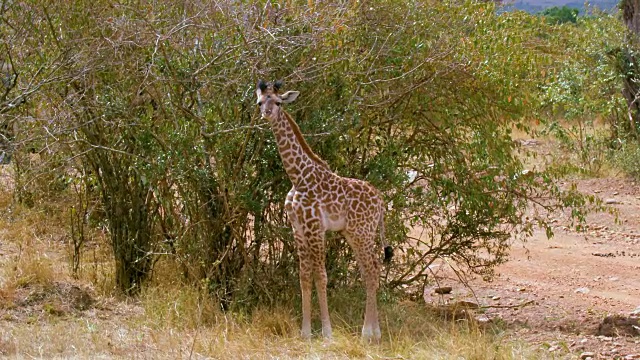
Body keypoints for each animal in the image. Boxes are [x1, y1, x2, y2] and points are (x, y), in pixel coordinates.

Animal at [255, 80, 390, 342]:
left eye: (277, 102)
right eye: (259, 102)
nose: (267, 113)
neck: (298, 177)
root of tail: (380, 201)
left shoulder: (315, 228)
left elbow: (321, 276)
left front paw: (327, 333)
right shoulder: (298, 229)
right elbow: (304, 277)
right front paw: (305, 332)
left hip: (362, 233)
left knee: (371, 270)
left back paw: (368, 333)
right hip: (353, 233)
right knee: (370, 269)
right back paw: (374, 331)